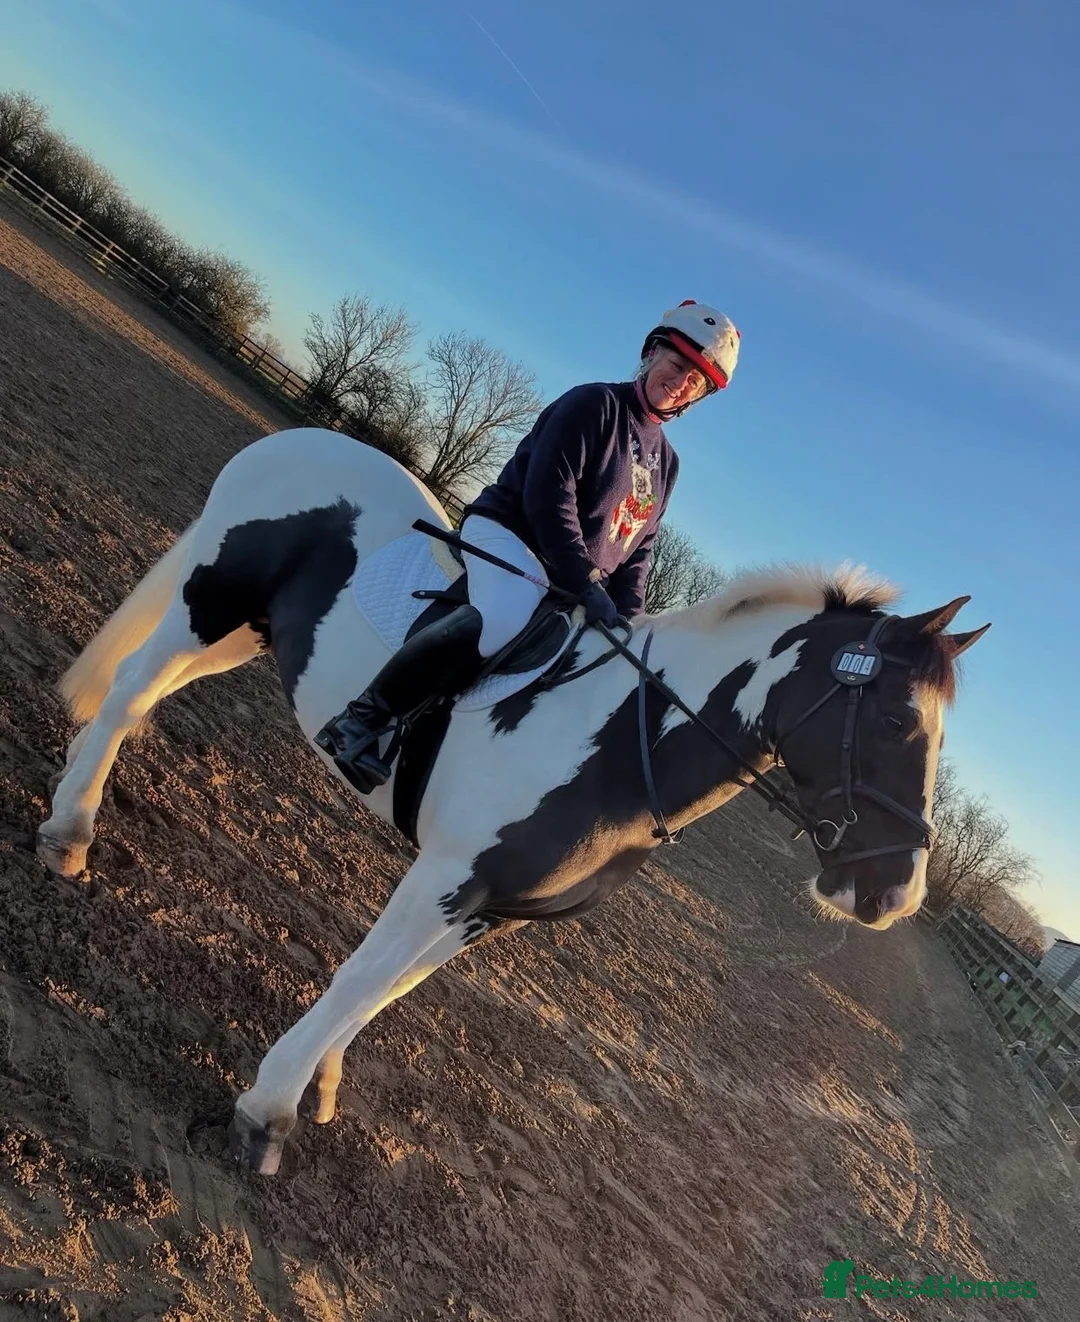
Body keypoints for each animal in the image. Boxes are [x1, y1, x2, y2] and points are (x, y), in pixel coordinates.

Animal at [36, 426, 990, 1176]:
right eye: (899, 719)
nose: (894, 894)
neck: (618, 738)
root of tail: (296, 440)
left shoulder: (490, 910)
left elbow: (392, 991)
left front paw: (323, 1085)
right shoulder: (447, 875)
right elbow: (361, 976)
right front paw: (267, 1113)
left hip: (249, 635)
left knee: (144, 699)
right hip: (208, 604)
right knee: (129, 693)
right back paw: (70, 832)